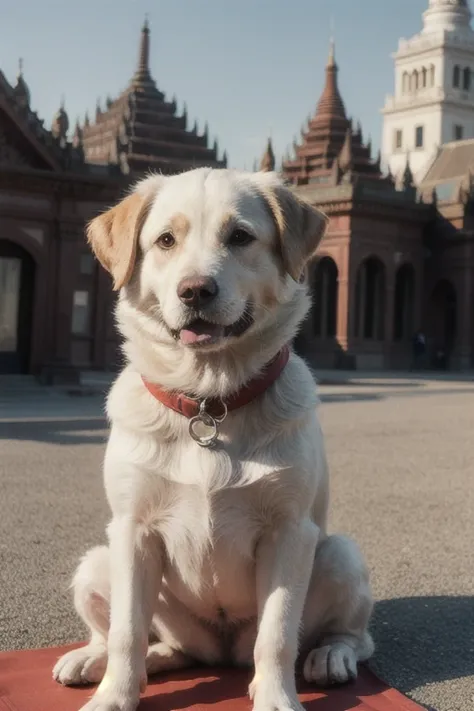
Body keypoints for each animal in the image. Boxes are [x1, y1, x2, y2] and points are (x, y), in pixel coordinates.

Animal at [51, 168, 370, 711]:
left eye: (239, 236)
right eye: (165, 240)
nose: (195, 290)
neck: (209, 400)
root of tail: (220, 652)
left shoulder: (289, 531)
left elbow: (277, 635)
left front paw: (276, 699)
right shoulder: (133, 529)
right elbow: (126, 633)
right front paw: (115, 696)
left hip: (339, 554)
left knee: (352, 636)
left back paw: (329, 657)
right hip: (98, 563)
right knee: (150, 644)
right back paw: (98, 660)